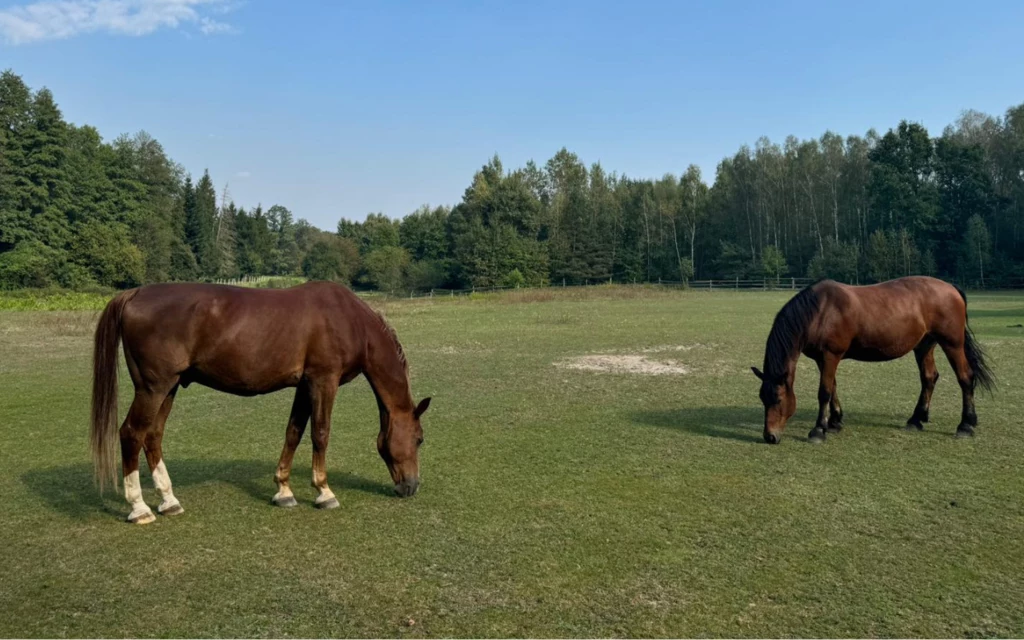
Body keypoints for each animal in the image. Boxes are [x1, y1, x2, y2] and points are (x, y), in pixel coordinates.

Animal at [92, 282, 432, 522]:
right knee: (131, 434)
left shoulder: (305, 384)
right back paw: (139, 508)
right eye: (419, 439)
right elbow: (320, 434)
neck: (348, 319)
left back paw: (168, 501)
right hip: (153, 388)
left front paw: (283, 490)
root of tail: (134, 294)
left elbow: (293, 432)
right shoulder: (324, 380)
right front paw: (324, 491)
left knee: (152, 436)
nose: (412, 487)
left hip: (169, 388)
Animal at [753, 274, 991, 444]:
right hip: (924, 345)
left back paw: (966, 425)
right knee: (929, 378)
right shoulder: (823, 359)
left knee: (965, 377)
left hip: (952, 344)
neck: (820, 311)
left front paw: (819, 430)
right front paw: (835, 422)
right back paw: (916, 419)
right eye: (762, 398)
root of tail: (951, 288)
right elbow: (833, 388)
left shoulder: (831, 355)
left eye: (778, 399)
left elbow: (824, 392)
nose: (770, 436)